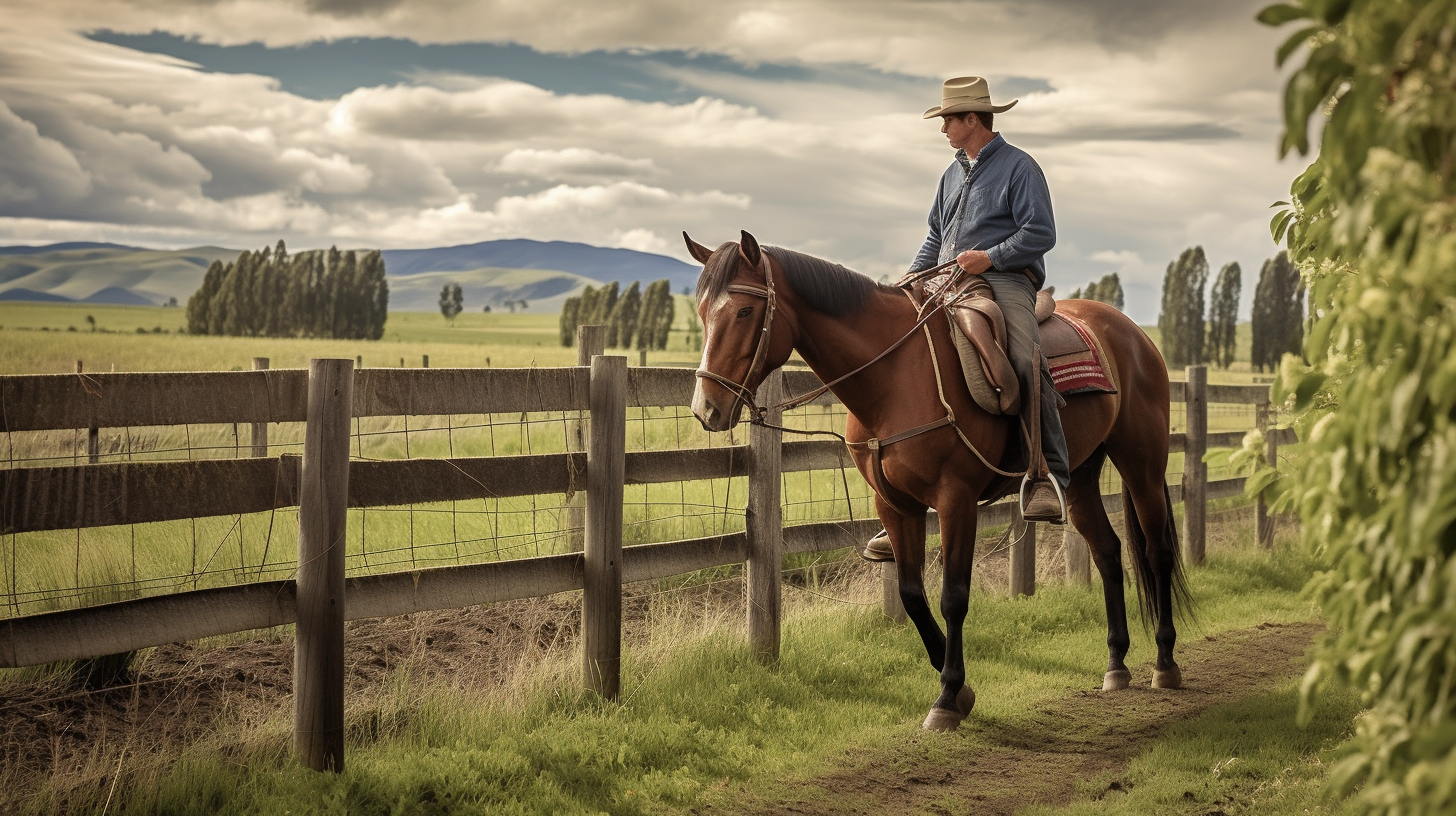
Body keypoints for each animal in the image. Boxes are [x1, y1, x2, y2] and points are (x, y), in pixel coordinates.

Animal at [687, 230, 1188, 734]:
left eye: (744, 311)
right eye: (703, 311)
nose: (706, 408)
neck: (893, 379)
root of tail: (1134, 334)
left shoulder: (956, 501)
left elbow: (953, 596)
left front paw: (948, 695)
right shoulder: (894, 504)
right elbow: (911, 594)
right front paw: (956, 684)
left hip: (1142, 464)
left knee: (1157, 551)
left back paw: (1165, 663)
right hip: (1081, 477)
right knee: (1108, 552)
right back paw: (1116, 663)